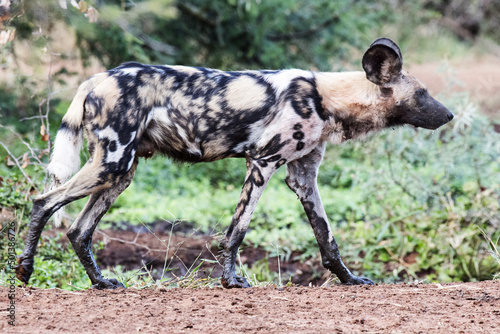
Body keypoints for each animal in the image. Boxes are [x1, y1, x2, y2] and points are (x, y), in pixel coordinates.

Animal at [15, 38, 454, 290]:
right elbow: (237, 231)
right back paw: (24, 271)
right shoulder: (262, 164)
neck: (325, 98)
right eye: (422, 94)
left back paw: (101, 283)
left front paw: (350, 280)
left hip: (120, 173)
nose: (449, 115)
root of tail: (97, 78)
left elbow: (327, 239)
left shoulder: (304, 177)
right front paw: (230, 281)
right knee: (43, 201)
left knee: (78, 230)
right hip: (111, 164)